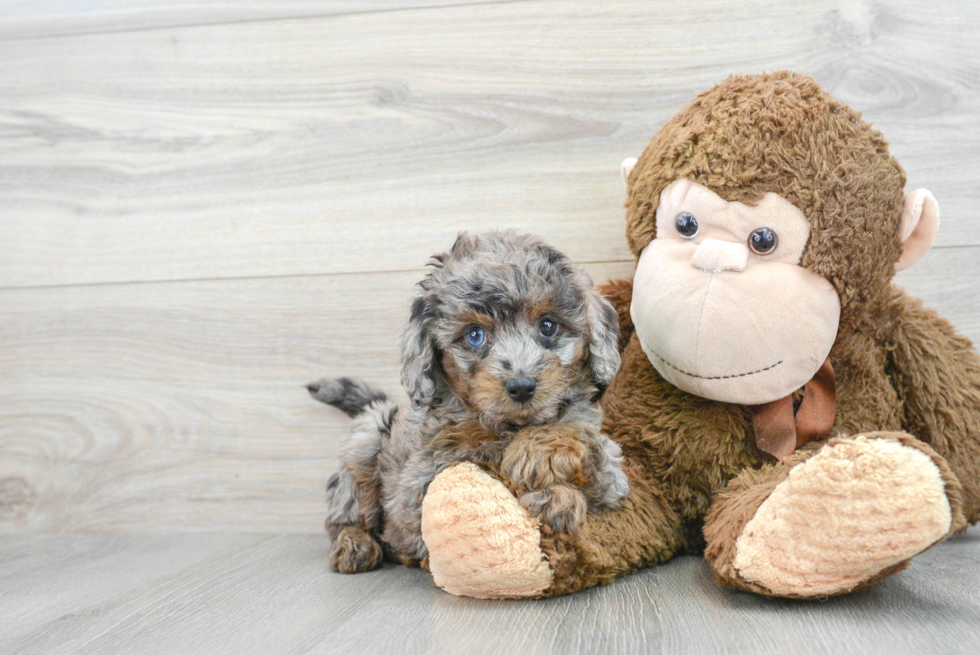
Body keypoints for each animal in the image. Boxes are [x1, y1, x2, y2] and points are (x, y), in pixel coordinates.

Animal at [308, 231, 628, 576]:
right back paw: (354, 544)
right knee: (346, 513)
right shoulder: (424, 479)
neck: (510, 425)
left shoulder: (613, 481)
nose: (521, 387)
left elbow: (585, 444)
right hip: (365, 440)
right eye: (475, 335)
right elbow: (484, 456)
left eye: (548, 325)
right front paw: (544, 482)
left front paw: (545, 463)